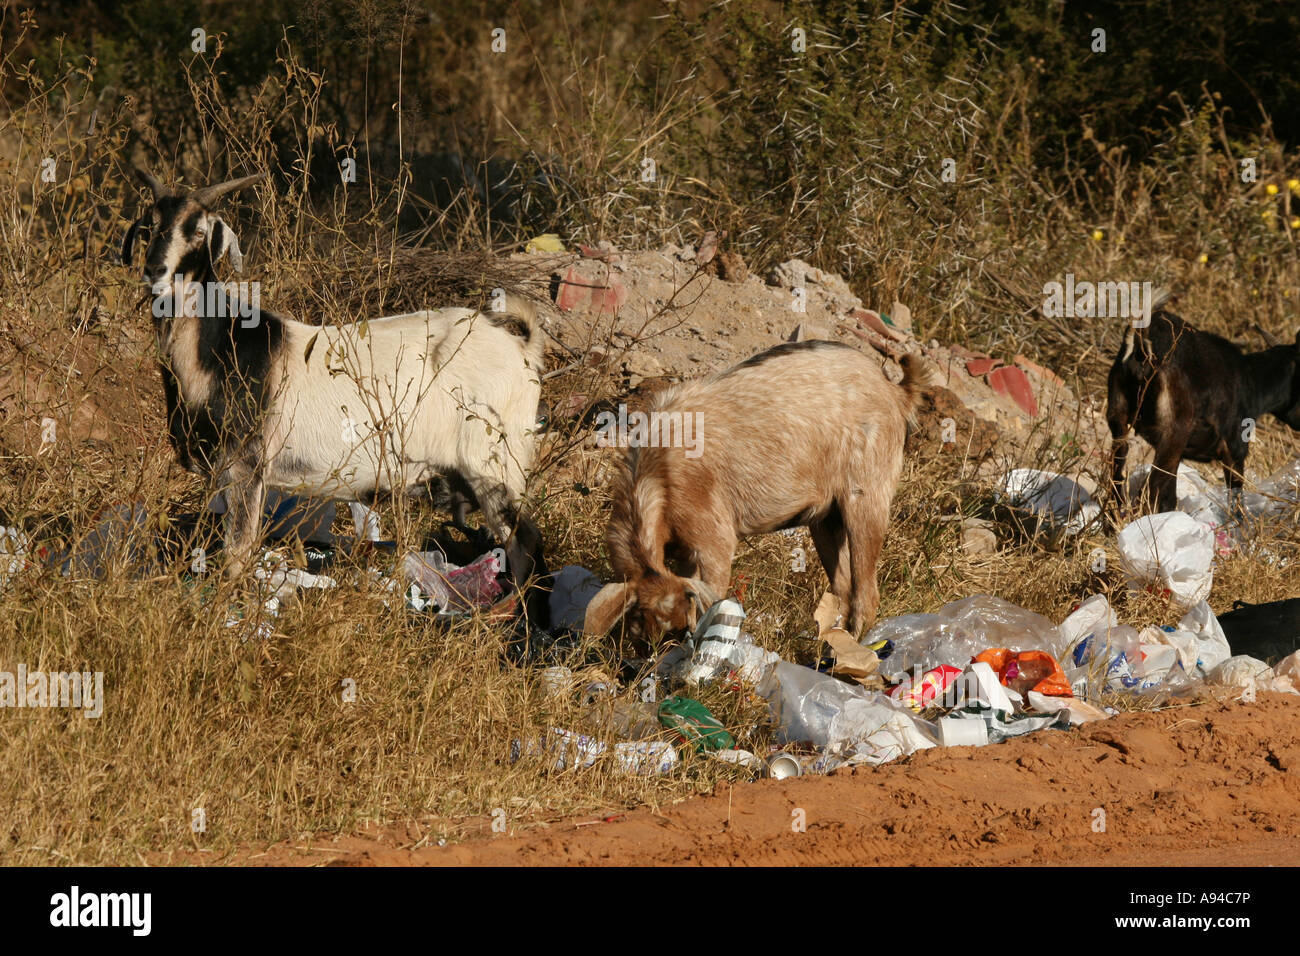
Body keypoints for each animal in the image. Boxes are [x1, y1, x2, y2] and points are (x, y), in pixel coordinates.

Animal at [122, 170, 548, 590]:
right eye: (150, 226)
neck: (220, 347)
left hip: (493, 462)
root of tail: (522, 349)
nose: (155, 272)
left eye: (198, 231)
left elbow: (237, 553)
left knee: (524, 539)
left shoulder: (246, 464)